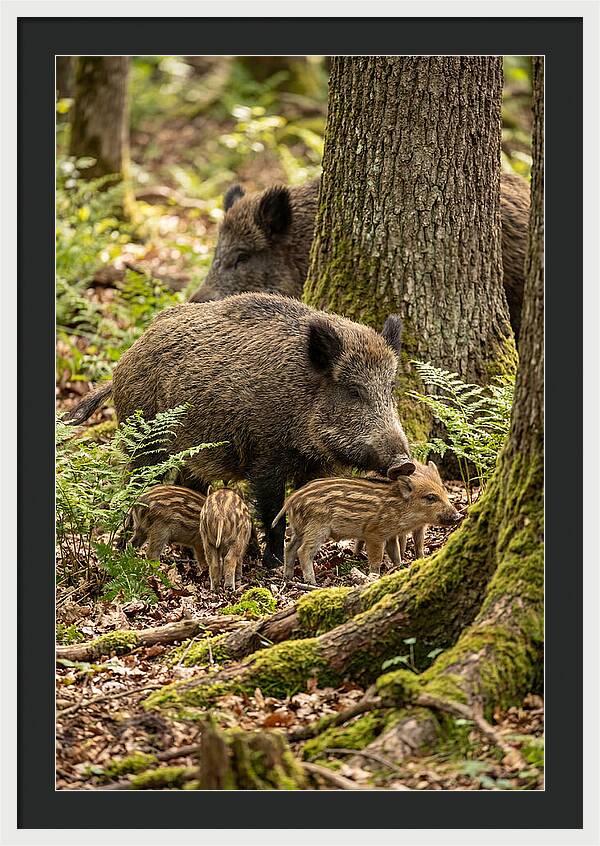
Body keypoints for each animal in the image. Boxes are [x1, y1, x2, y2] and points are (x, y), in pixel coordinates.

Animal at [65, 293, 412, 569]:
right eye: (354, 391)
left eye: (390, 389)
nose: (405, 463)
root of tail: (124, 360)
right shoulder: (265, 458)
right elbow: (273, 512)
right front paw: (272, 564)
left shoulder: (315, 467)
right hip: (146, 442)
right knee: (134, 487)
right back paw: (123, 549)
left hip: (191, 452)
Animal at [272, 459, 461, 585]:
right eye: (430, 497)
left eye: (443, 490)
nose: (458, 516)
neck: (400, 508)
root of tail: (291, 499)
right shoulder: (374, 534)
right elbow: (376, 558)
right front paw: (374, 576)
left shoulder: (390, 535)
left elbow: (395, 553)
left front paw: (399, 568)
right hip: (316, 528)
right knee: (303, 551)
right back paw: (312, 583)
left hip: (300, 529)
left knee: (289, 548)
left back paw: (288, 577)